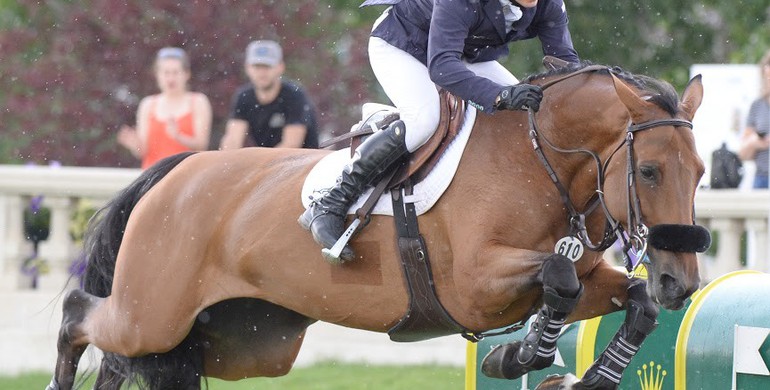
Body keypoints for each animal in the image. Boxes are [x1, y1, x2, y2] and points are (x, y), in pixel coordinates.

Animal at [49, 62, 708, 388]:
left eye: (700, 173)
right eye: (648, 171)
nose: (681, 282)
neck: (536, 158)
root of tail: (175, 174)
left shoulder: (581, 280)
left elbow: (631, 302)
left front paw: (577, 373)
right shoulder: (473, 286)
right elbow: (557, 277)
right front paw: (518, 357)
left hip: (242, 343)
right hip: (152, 315)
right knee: (79, 315)